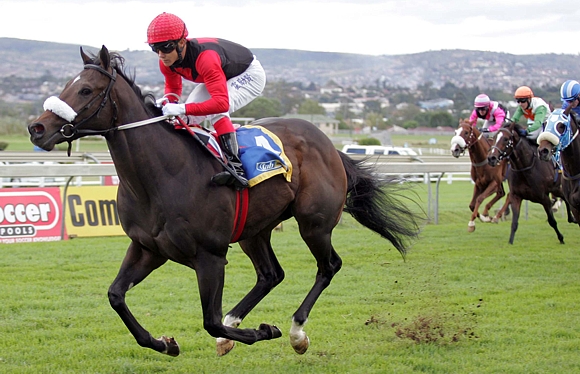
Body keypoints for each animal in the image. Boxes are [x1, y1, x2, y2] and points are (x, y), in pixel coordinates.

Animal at [26, 46, 422, 356]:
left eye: (85, 90)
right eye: (65, 86)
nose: (37, 128)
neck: (159, 177)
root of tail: (329, 145)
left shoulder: (210, 256)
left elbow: (210, 321)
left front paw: (263, 330)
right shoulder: (147, 248)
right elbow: (115, 296)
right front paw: (164, 343)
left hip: (315, 223)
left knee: (328, 266)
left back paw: (296, 331)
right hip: (254, 230)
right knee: (271, 274)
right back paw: (242, 322)